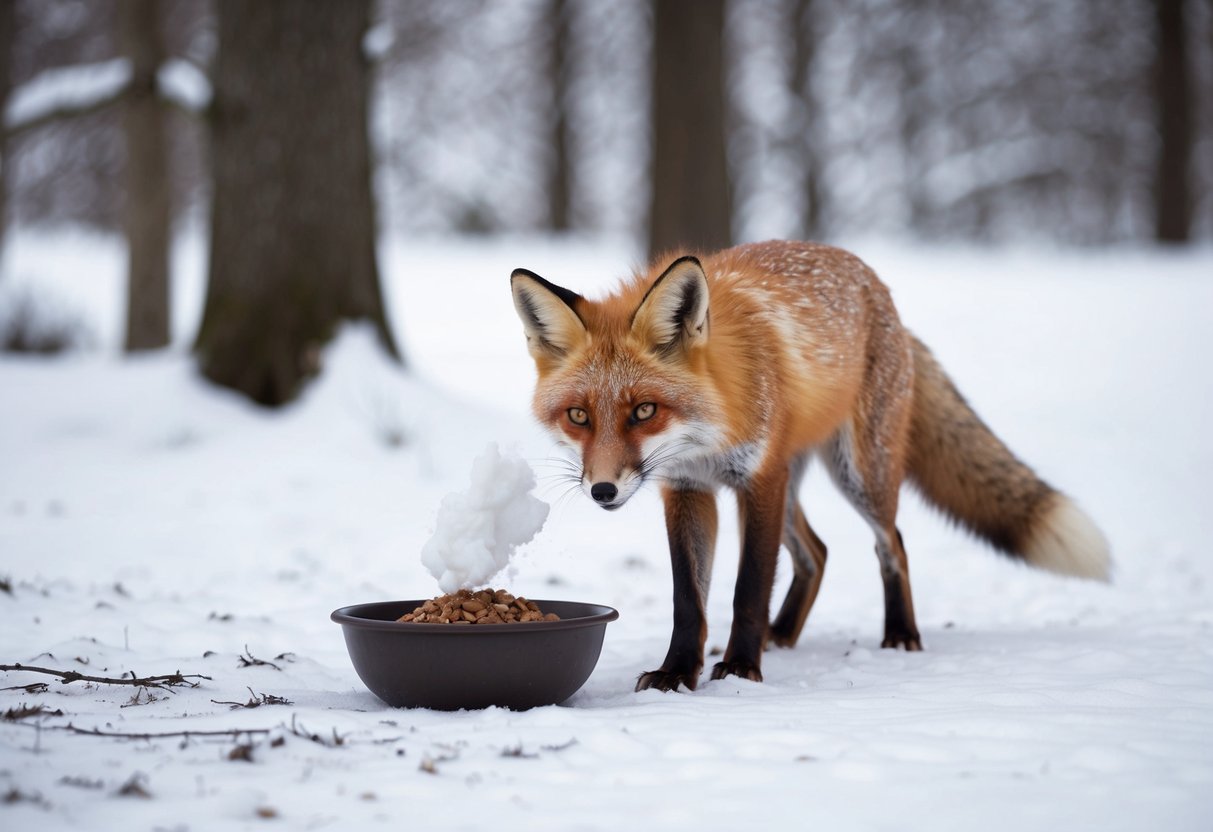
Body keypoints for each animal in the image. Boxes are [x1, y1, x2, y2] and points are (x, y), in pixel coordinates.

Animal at [510, 240, 1110, 692]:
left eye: (643, 410)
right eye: (579, 415)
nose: (603, 491)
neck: (707, 436)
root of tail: (881, 290)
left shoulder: (758, 480)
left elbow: (749, 587)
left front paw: (741, 669)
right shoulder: (687, 489)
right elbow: (689, 600)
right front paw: (677, 672)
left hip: (858, 474)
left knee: (891, 544)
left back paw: (900, 634)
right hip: (797, 483)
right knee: (816, 553)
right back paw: (784, 634)